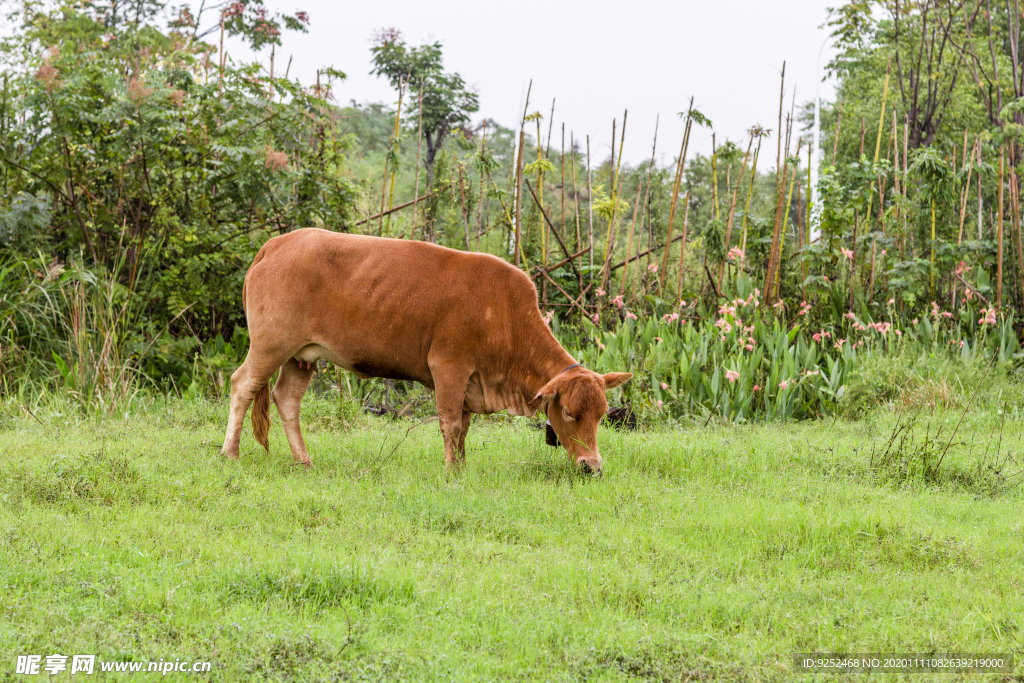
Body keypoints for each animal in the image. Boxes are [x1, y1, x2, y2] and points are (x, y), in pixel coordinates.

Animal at [220, 227, 626, 473]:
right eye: (570, 413)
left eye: (602, 416)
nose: (592, 466)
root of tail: (277, 243)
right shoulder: (448, 367)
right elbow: (449, 424)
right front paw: (450, 471)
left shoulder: (469, 382)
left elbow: (463, 428)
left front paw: (461, 468)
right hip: (271, 344)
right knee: (243, 385)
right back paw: (230, 453)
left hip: (302, 355)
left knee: (287, 398)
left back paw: (304, 461)